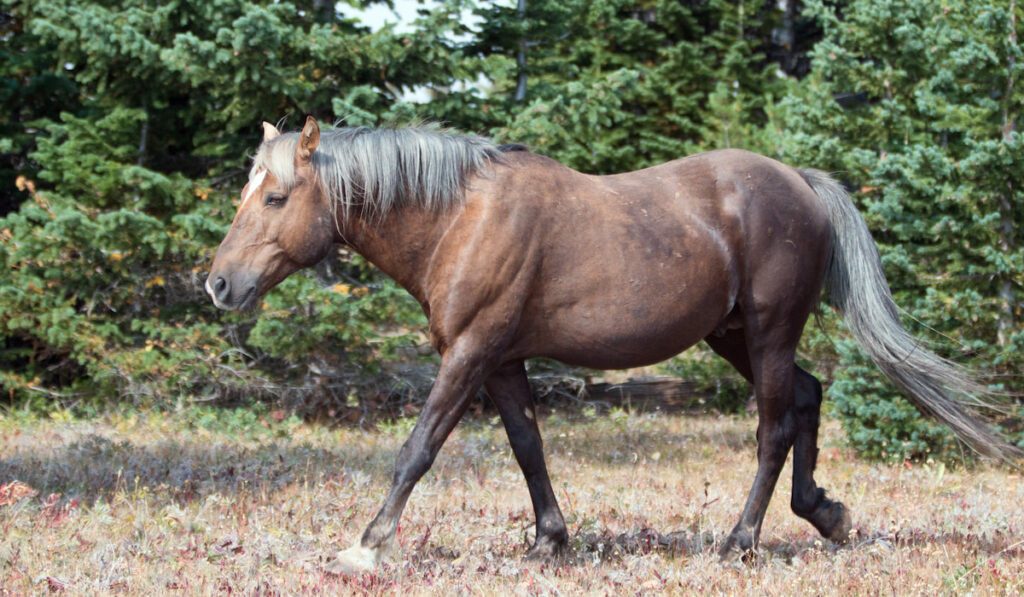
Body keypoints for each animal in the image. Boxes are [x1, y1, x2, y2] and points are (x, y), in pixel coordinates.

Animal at [203, 115, 1011, 569]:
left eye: (275, 197)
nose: (218, 284)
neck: (459, 215)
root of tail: (801, 183)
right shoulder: (501, 359)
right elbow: (528, 447)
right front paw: (549, 541)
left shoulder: (468, 353)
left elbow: (418, 449)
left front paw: (367, 545)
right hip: (734, 336)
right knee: (808, 400)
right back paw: (825, 514)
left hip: (770, 332)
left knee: (775, 426)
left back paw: (739, 542)